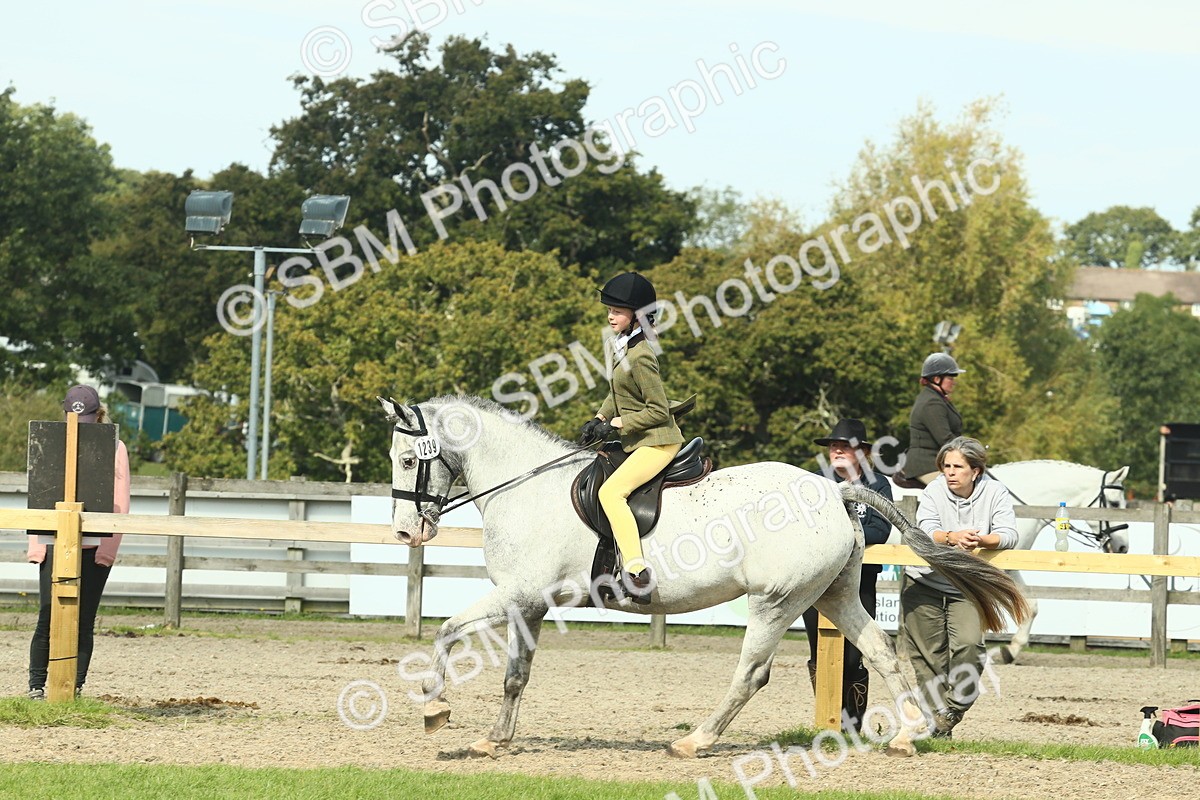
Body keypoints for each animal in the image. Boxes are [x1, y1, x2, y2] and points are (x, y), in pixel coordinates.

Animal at [380, 395, 1029, 759]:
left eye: (410, 459)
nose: (407, 533)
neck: (524, 486)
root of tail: (833, 489)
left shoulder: (516, 594)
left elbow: (446, 630)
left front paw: (435, 711)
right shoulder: (528, 604)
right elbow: (516, 675)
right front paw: (494, 740)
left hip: (776, 601)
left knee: (752, 673)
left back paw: (695, 741)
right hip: (835, 595)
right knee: (881, 652)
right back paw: (906, 734)